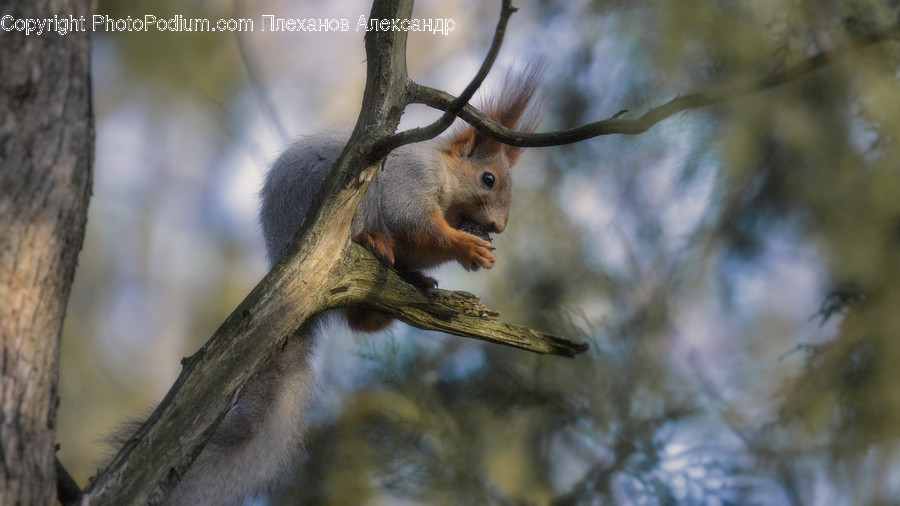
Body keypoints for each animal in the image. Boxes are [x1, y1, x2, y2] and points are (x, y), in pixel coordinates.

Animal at [160, 65, 543, 505]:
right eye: (488, 179)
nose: (498, 227)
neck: (445, 184)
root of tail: (283, 258)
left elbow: (419, 244)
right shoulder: (408, 183)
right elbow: (416, 224)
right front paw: (467, 246)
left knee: (362, 319)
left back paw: (408, 286)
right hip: (337, 212)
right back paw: (372, 241)